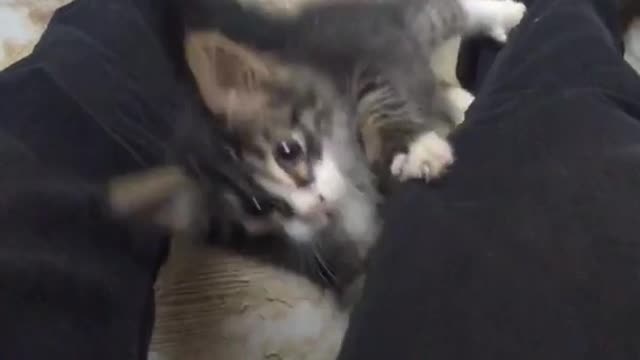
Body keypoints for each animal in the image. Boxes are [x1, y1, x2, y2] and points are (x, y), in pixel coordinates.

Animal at [179, 0, 524, 292]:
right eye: (262, 209)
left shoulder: (360, 59)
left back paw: (509, 13)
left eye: (287, 153)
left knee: (441, 14)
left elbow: (376, 96)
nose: (315, 205)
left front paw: (415, 149)